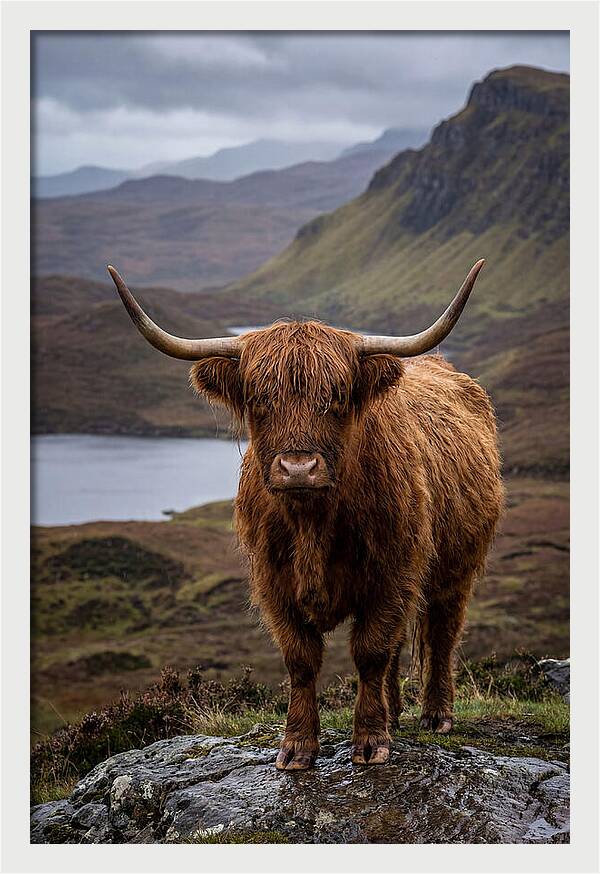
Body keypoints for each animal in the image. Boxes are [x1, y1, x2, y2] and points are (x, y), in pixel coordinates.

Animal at [108, 261, 504, 770]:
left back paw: (436, 715)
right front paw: (297, 746)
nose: (298, 467)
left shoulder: (392, 573)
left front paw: (370, 741)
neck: (313, 522)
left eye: (336, 396)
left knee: (441, 632)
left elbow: (370, 650)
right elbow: (302, 659)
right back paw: (396, 713)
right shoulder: (274, 581)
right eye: (259, 398)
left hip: (456, 568)